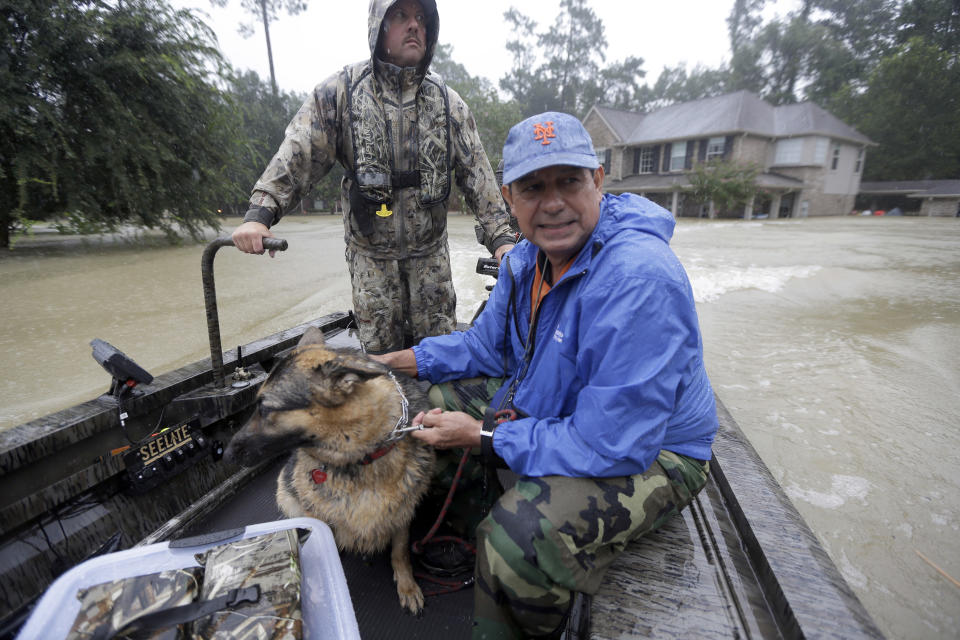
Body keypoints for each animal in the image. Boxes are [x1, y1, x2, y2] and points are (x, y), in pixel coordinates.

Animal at [225, 328, 436, 612]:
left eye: (265, 408)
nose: (225, 455)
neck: (361, 458)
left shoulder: (403, 512)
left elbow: (400, 551)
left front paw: (407, 586)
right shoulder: (318, 515)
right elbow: (329, 543)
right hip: (286, 493)